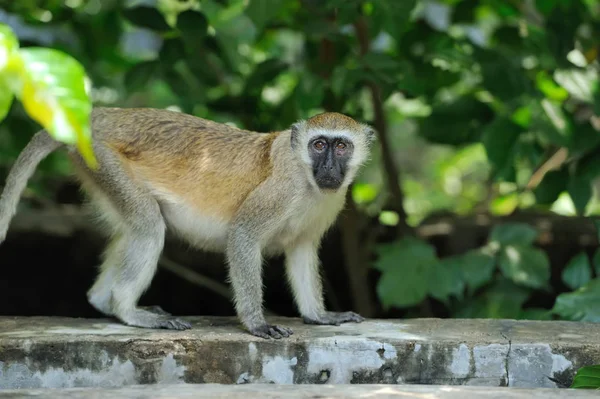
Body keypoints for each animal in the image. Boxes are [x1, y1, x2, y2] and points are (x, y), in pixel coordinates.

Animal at [0, 108, 376, 340]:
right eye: (319, 145)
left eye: (341, 146)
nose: (329, 169)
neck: (307, 177)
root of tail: (102, 116)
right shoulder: (281, 191)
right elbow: (243, 235)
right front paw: (255, 323)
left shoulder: (327, 204)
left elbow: (300, 249)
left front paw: (319, 316)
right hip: (103, 158)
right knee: (148, 225)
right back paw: (126, 310)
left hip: (95, 166)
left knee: (133, 226)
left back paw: (104, 302)